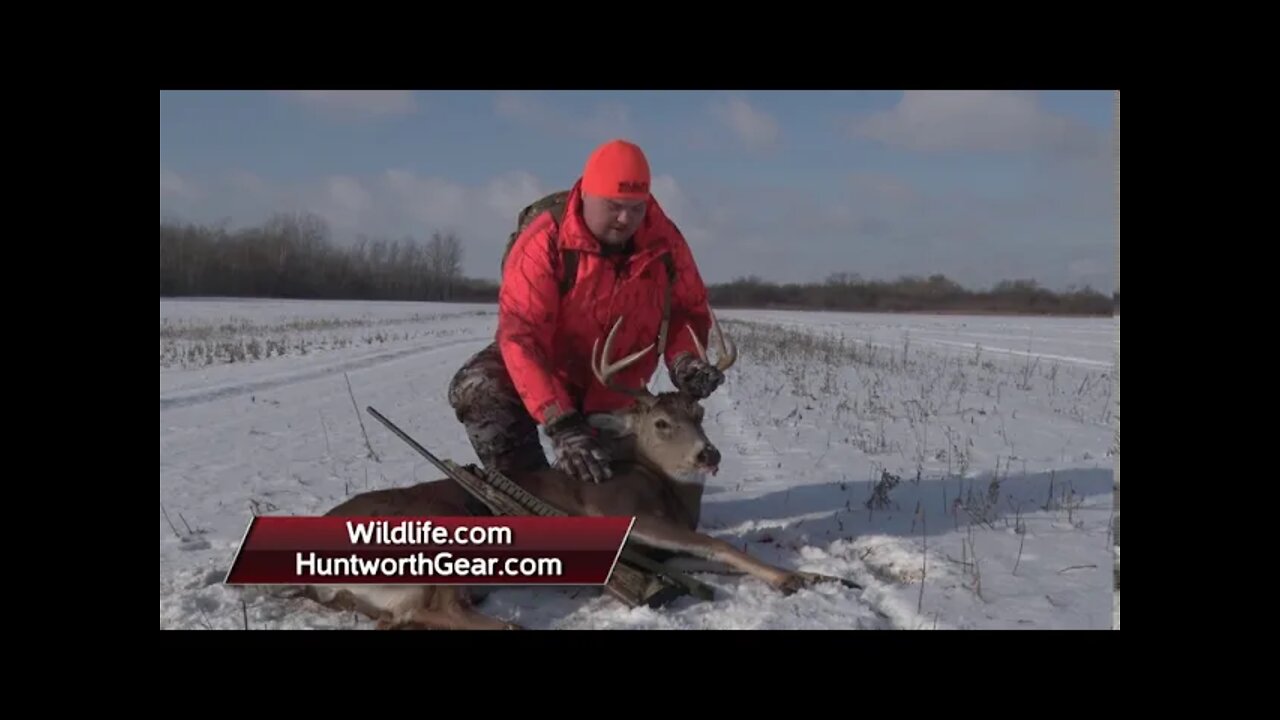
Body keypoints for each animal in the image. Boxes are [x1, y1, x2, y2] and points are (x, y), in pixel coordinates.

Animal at [291, 308, 849, 627]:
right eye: (662, 422)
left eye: (700, 415)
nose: (707, 455)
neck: (665, 489)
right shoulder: (624, 513)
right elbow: (717, 544)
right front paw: (795, 578)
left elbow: (710, 557)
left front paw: (815, 576)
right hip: (439, 538)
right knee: (436, 611)